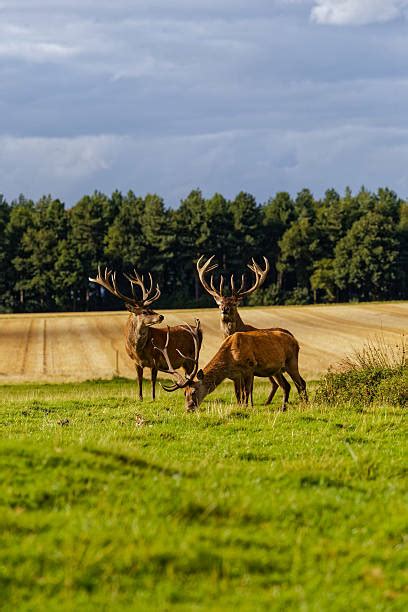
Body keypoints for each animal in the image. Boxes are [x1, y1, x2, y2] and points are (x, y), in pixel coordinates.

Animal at [90, 268, 203, 402]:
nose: (161, 316)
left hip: (191, 358)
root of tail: (198, 330)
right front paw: (140, 398)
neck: (139, 350)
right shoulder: (136, 362)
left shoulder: (156, 360)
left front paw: (153, 398)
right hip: (186, 362)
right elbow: (139, 380)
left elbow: (153, 381)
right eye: (144, 311)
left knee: (191, 376)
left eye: (151, 308)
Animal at [155, 320, 308, 412]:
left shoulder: (250, 367)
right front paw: (240, 406)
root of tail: (295, 340)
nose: (188, 408)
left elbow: (246, 391)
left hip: (291, 361)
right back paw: (283, 408)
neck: (231, 358)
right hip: (277, 370)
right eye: (184, 393)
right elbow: (238, 394)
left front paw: (247, 407)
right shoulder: (235, 376)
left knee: (301, 383)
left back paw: (305, 404)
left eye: (193, 391)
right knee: (287, 385)